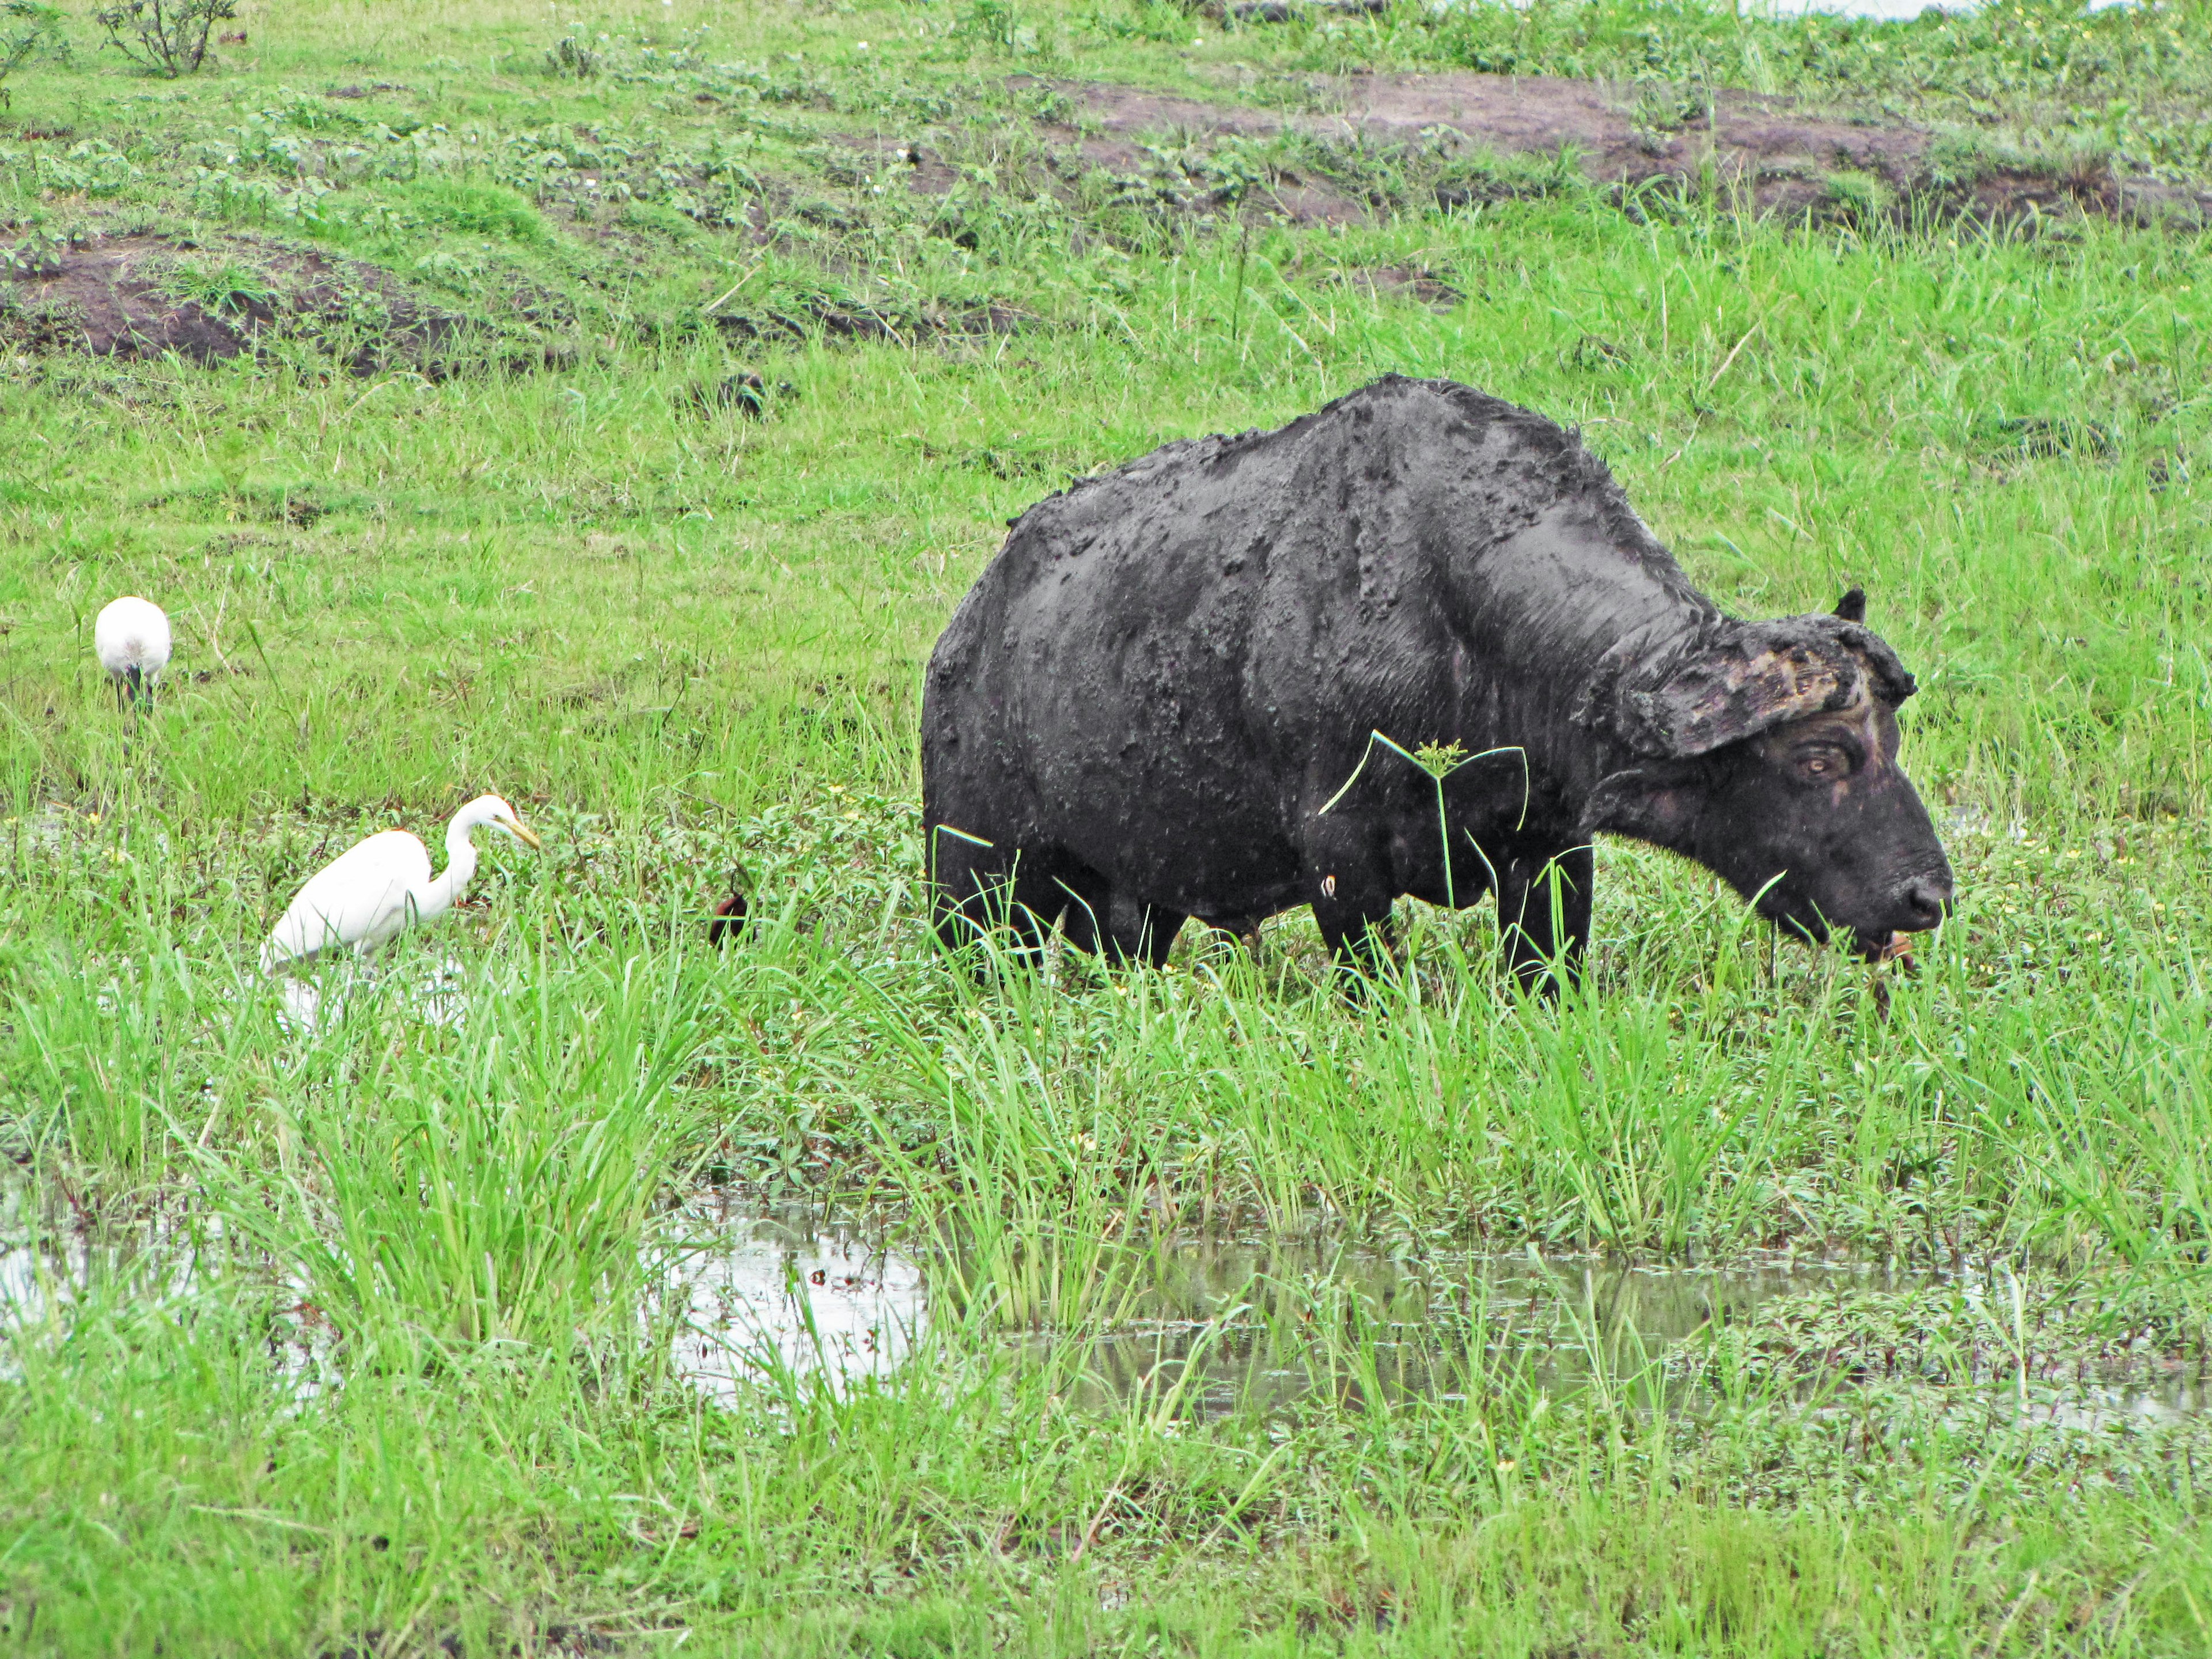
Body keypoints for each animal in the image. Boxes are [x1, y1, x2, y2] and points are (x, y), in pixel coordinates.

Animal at [915, 376, 1955, 986]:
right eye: (1822, 756)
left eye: (1894, 743)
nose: (1927, 899)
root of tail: (965, 635)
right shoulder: (1342, 865)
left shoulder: (1552, 857)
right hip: (973, 887)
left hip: (1131, 908)